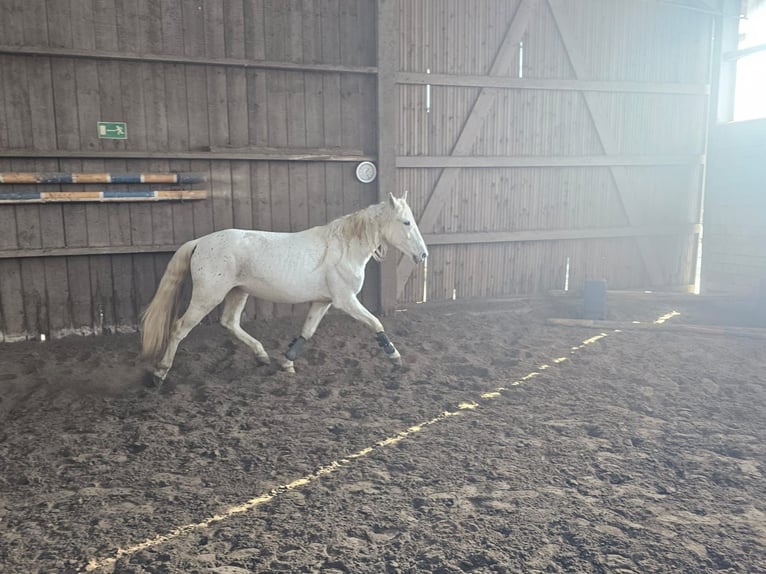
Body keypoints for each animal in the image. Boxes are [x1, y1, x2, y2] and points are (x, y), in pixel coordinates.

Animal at [141, 194, 428, 388]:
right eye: (406, 222)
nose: (423, 255)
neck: (343, 248)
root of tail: (199, 242)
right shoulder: (345, 300)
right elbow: (376, 323)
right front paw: (395, 358)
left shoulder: (323, 302)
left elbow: (307, 332)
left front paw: (287, 362)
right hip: (207, 296)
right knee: (180, 328)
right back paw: (159, 374)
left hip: (238, 292)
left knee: (229, 322)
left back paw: (262, 357)